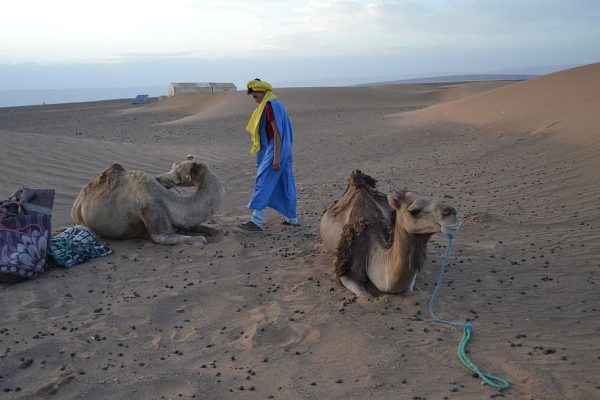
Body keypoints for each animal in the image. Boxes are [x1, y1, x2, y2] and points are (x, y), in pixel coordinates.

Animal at [71, 154, 225, 245]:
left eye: (176, 177)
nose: (158, 178)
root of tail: (77, 203)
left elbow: (217, 230)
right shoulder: (152, 210)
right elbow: (200, 239)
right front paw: (201, 238)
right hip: (83, 222)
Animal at [322, 170, 458, 298]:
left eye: (431, 198)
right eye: (414, 210)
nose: (452, 212)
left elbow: (409, 291)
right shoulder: (346, 271)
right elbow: (365, 295)